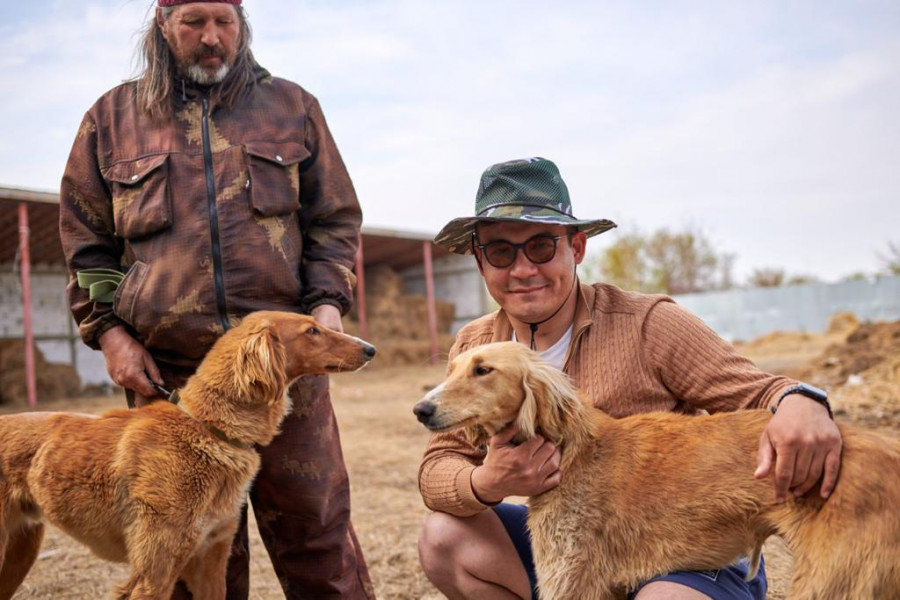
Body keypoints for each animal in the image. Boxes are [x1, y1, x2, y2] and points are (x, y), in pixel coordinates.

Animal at [414, 342, 900, 600]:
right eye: (453, 368)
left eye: (483, 370)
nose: (421, 409)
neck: (574, 447)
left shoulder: (568, 577)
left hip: (833, 583)